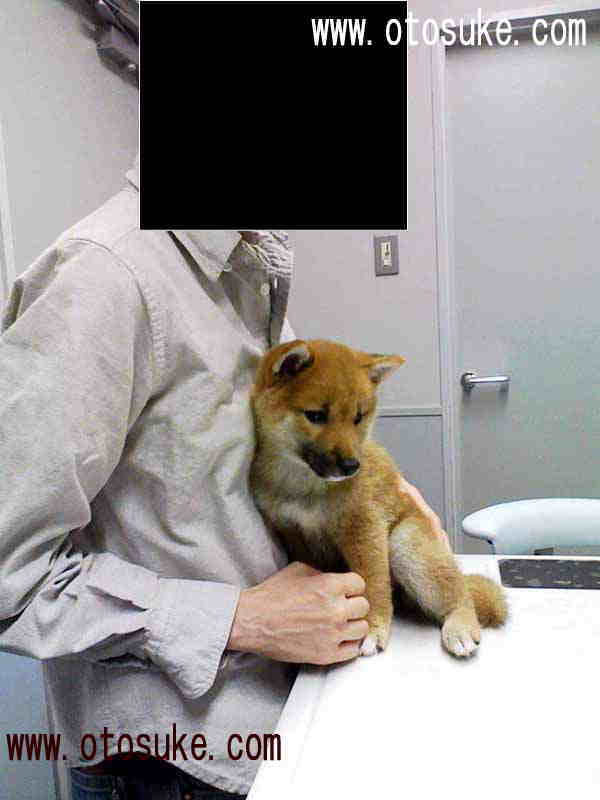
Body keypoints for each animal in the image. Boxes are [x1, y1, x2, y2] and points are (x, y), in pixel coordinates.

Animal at [249, 339, 507, 657]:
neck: (303, 485)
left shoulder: (364, 527)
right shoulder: (293, 533)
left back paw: (459, 627)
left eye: (358, 418)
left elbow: (372, 585)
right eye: (316, 415)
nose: (351, 466)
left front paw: (373, 628)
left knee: (459, 596)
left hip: (405, 545)